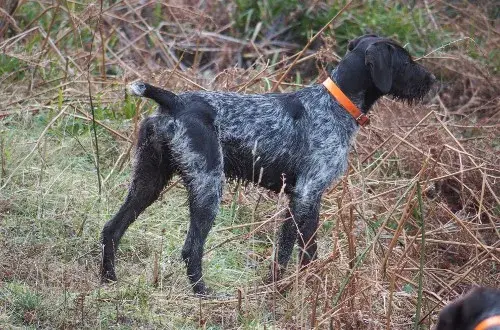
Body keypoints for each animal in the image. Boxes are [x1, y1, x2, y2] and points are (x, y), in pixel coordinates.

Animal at [100, 34, 434, 296]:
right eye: (406, 61)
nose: (432, 80)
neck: (337, 105)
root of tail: (175, 102)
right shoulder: (305, 195)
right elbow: (289, 252)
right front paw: (282, 292)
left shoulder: (308, 198)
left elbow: (303, 250)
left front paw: (303, 287)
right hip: (208, 188)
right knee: (191, 249)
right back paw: (203, 294)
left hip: (148, 182)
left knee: (111, 229)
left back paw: (108, 279)